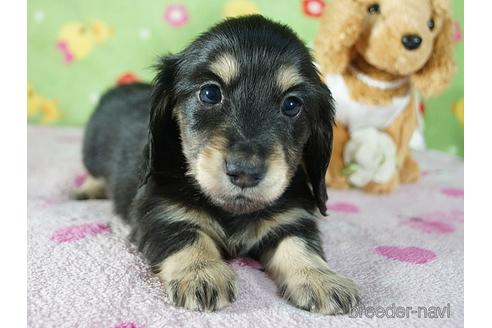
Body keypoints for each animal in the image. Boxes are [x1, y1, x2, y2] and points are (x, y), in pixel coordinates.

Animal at [76, 16, 358, 316]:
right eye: (210, 93)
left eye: (292, 104)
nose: (245, 172)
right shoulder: (158, 211)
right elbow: (186, 234)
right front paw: (201, 272)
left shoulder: (293, 218)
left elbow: (300, 245)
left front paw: (320, 278)